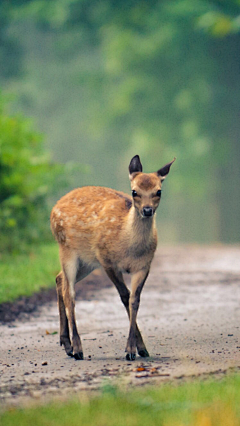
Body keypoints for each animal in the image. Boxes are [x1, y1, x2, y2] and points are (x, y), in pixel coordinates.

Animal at [50, 155, 174, 362]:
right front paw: (130, 350)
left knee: (60, 279)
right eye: (134, 191)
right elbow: (124, 296)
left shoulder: (144, 266)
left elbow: (135, 300)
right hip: (67, 248)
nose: (147, 210)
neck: (129, 246)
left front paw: (141, 349)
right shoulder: (107, 260)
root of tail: (53, 208)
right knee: (70, 294)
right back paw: (77, 348)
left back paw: (66, 345)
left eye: (159, 191)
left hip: (87, 262)